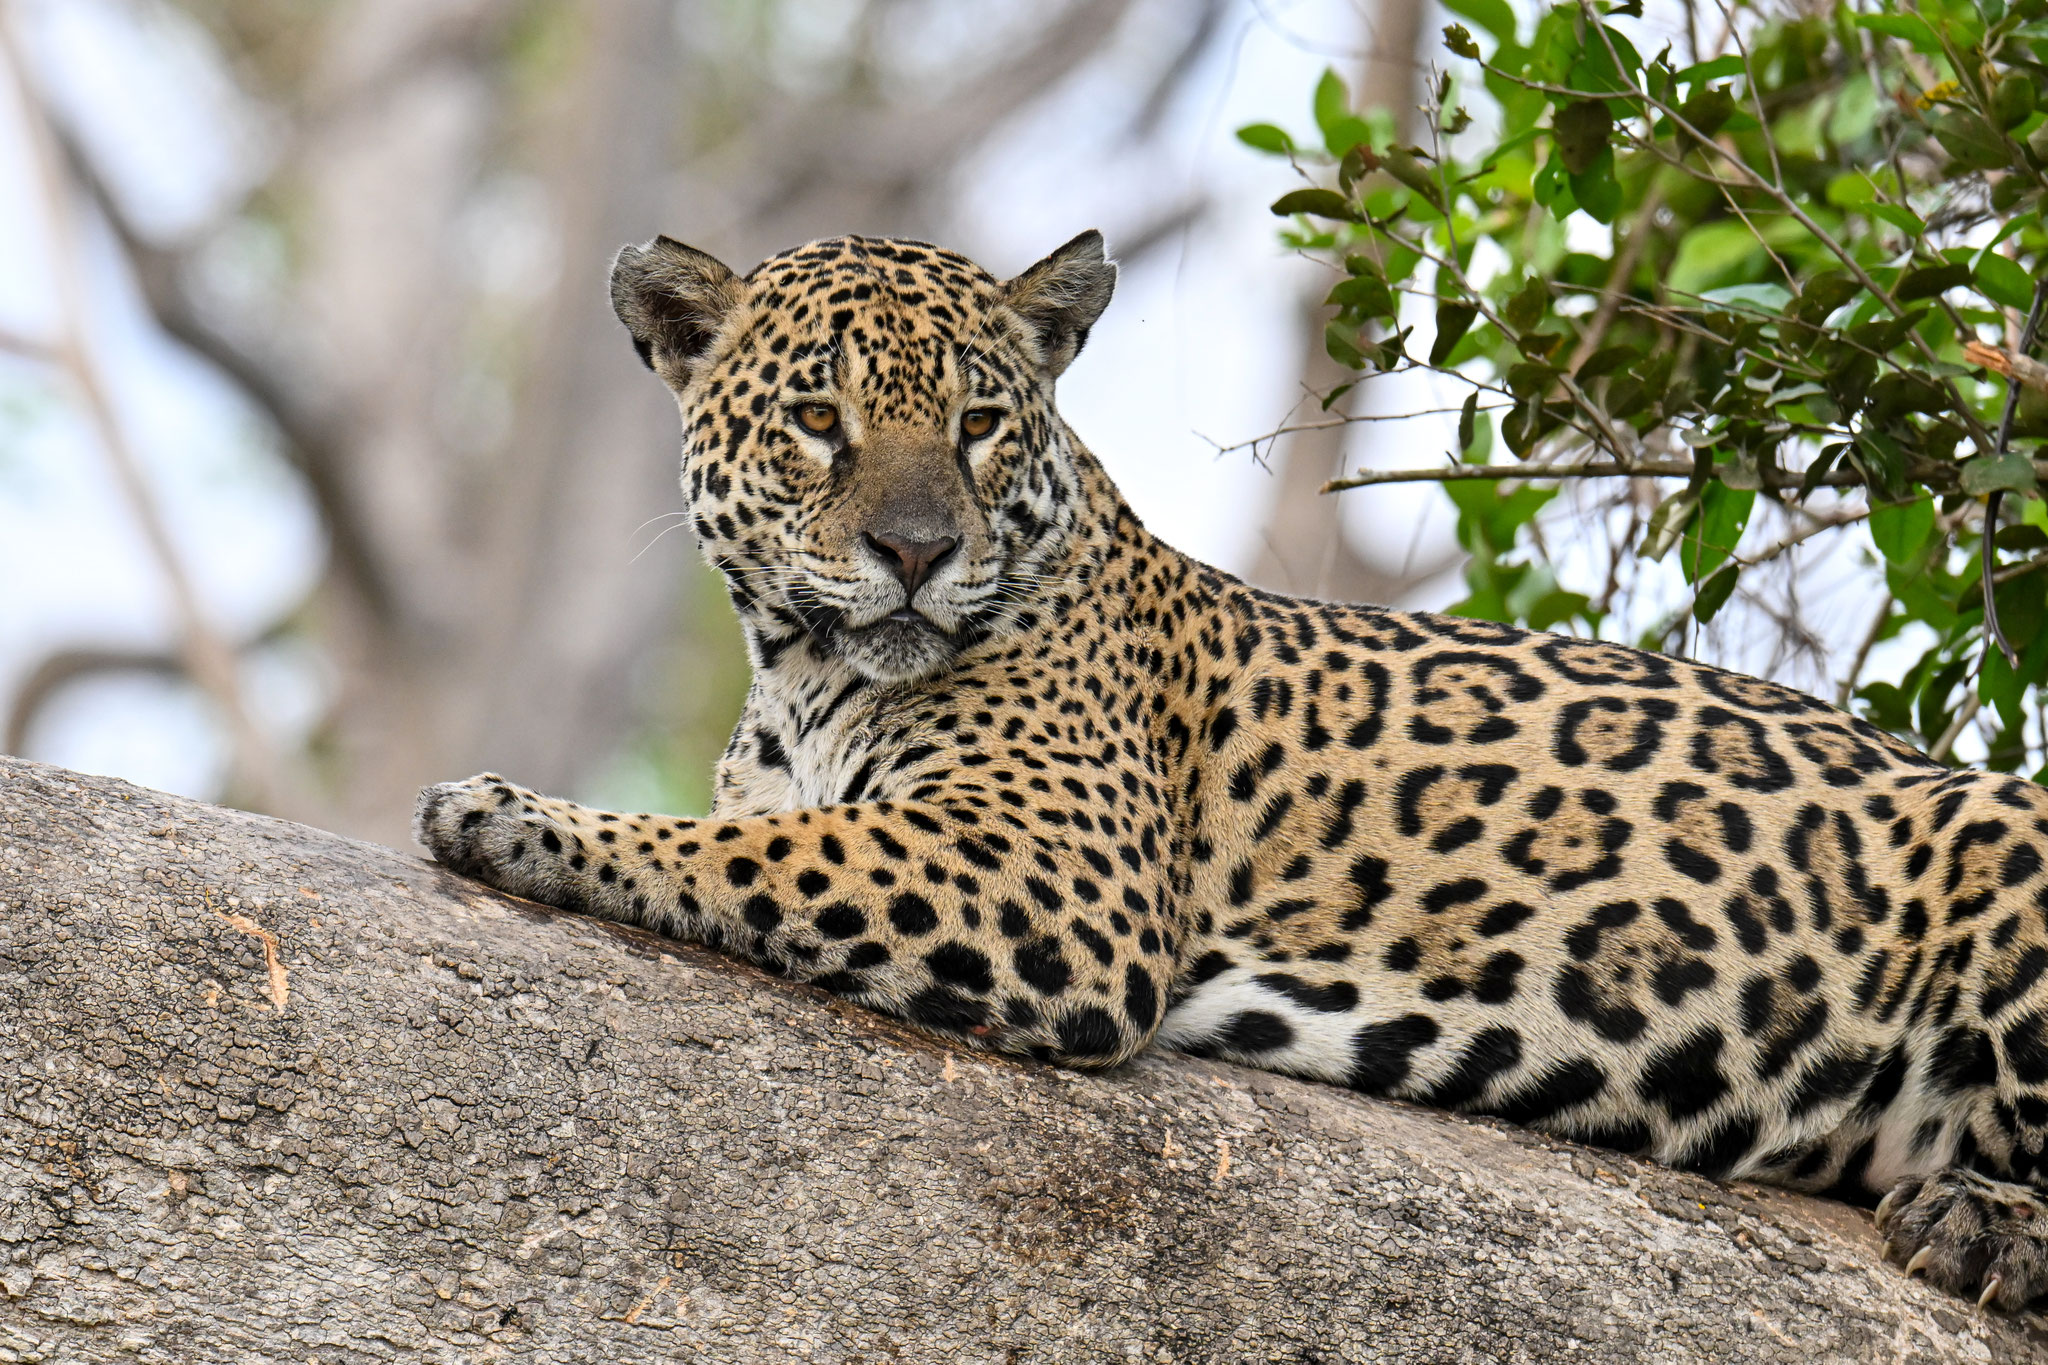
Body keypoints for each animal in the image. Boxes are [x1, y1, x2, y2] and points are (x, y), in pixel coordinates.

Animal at [416, 228, 2048, 1313]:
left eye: (979, 424)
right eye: (819, 421)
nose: (916, 551)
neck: (804, 676)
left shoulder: (1052, 872)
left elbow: (755, 855)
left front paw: (512, 817)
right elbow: (762, 834)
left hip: (2005, 831)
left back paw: (1982, 1227)